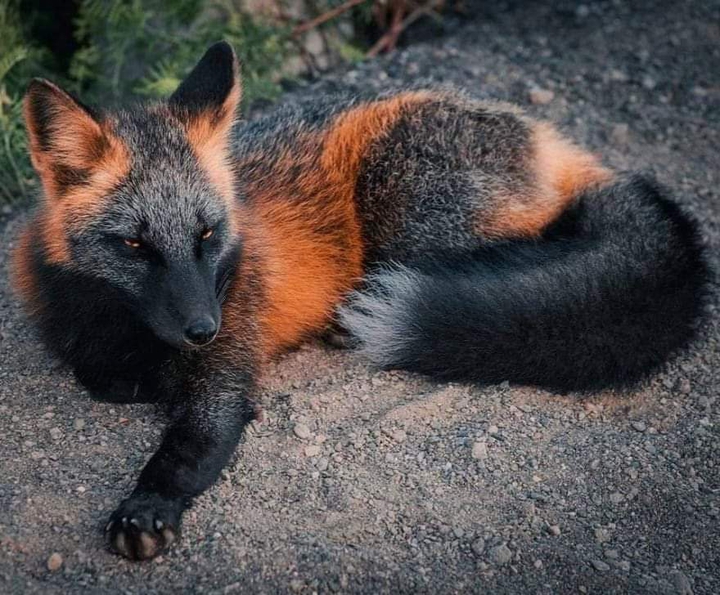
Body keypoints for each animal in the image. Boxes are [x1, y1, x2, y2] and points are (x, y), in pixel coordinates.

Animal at [12, 41, 708, 561]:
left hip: (407, 214)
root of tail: (544, 135)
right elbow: (99, 376)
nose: (203, 328)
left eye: (207, 235)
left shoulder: (227, 370)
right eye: (134, 244)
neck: (123, 327)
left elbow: (187, 446)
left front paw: (147, 506)